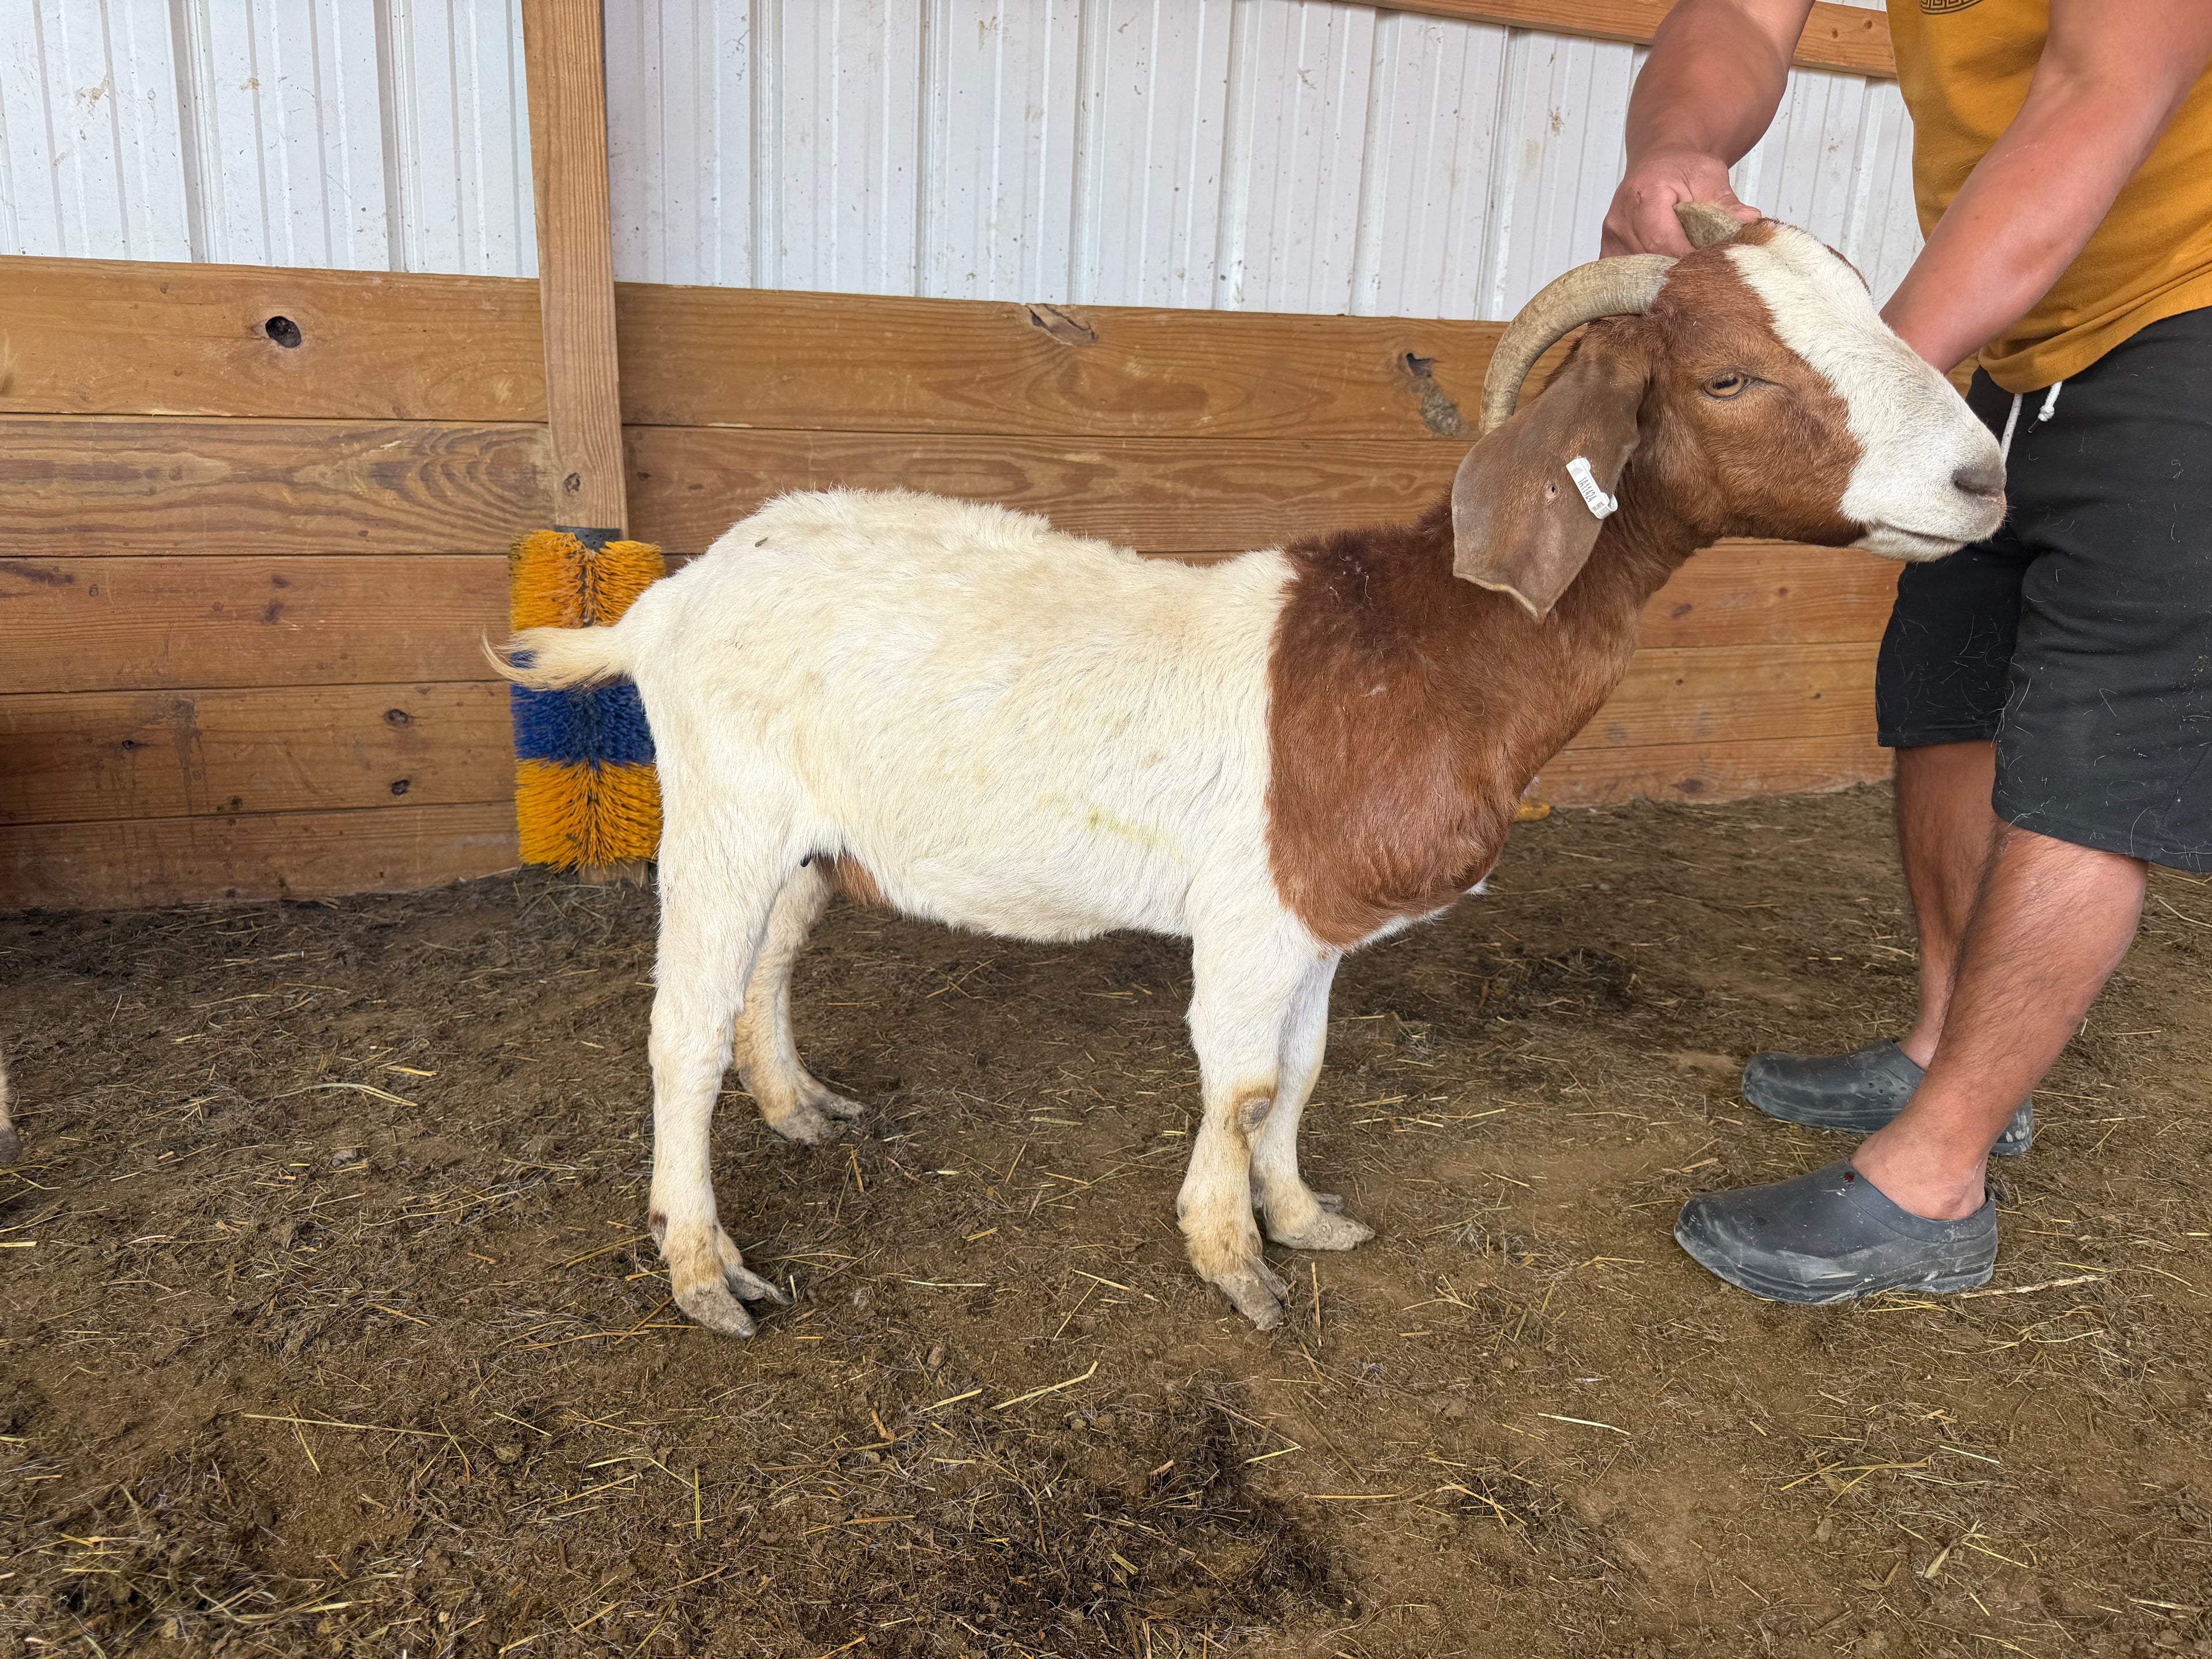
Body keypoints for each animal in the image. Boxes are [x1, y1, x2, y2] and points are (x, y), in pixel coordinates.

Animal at [498, 208, 2004, 1334]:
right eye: (1729, 375)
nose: (1981, 480)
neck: (1428, 641)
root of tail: (666, 602)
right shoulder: (1250, 915)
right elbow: (1235, 1082)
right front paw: (1232, 1259)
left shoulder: (1325, 916)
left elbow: (1303, 1069)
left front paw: (1302, 1215)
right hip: (721, 811)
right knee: (682, 1028)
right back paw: (705, 1267)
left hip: (812, 831)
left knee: (773, 961)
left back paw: (801, 1105)